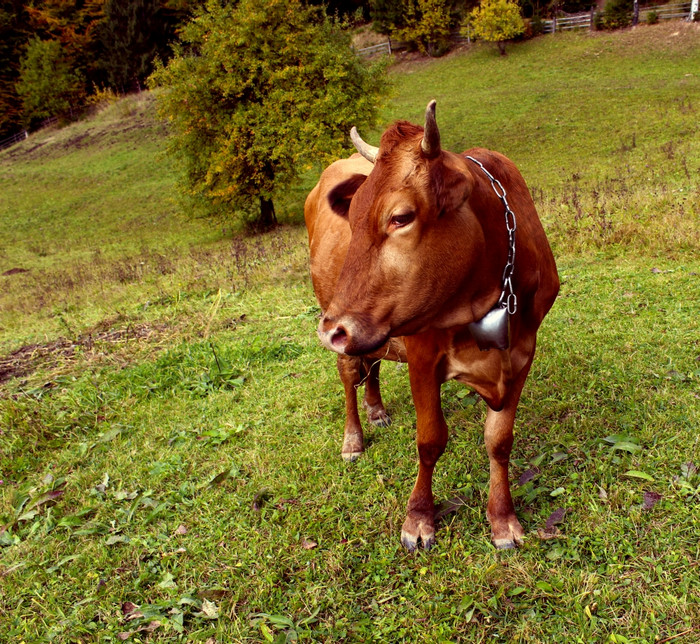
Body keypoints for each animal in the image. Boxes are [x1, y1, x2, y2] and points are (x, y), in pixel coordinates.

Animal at [306, 100, 556, 548]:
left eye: (400, 217)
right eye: (352, 216)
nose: (332, 329)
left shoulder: (523, 353)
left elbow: (499, 441)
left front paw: (502, 518)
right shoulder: (422, 356)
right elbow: (430, 439)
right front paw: (419, 518)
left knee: (371, 363)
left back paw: (376, 409)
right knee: (350, 374)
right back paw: (354, 438)